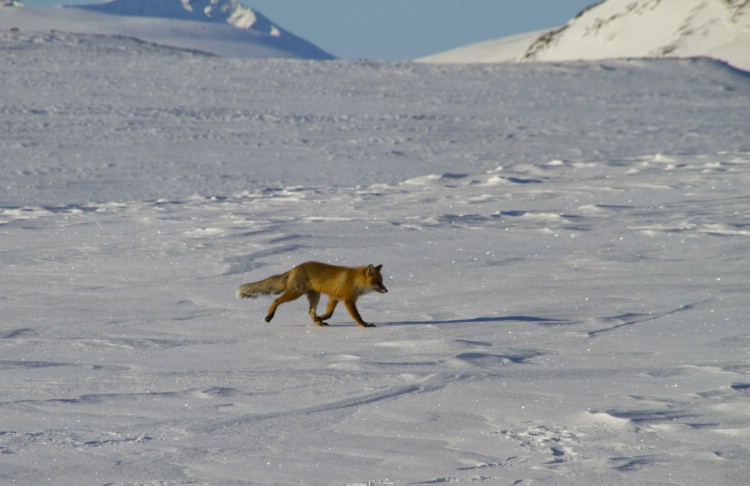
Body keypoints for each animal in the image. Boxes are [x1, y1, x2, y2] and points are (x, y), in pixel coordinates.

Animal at [235, 262, 388, 326]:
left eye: (382, 282)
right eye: (377, 283)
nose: (386, 290)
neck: (355, 281)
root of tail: (294, 268)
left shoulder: (334, 297)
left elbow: (329, 314)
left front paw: (321, 318)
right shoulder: (348, 300)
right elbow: (357, 317)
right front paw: (365, 325)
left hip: (315, 296)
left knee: (310, 311)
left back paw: (318, 322)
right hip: (295, 293)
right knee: (276, 300)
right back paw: (269, 316)